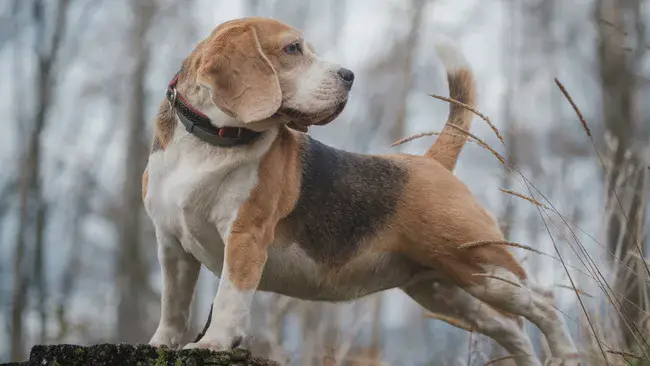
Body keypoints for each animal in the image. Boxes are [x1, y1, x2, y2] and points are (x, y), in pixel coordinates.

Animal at [142, 17, 576, 366]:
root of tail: (431, 161)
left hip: (482, 266)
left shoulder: (245, 235)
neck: (210, 142)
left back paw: (568, 354)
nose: (349, 75)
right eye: (292, 48)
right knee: (512, 331)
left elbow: (230, 296)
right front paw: (160, 343)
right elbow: (172, 305)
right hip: (448, 289)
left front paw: (212, 343)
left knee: (544, 302)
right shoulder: (171, 244)